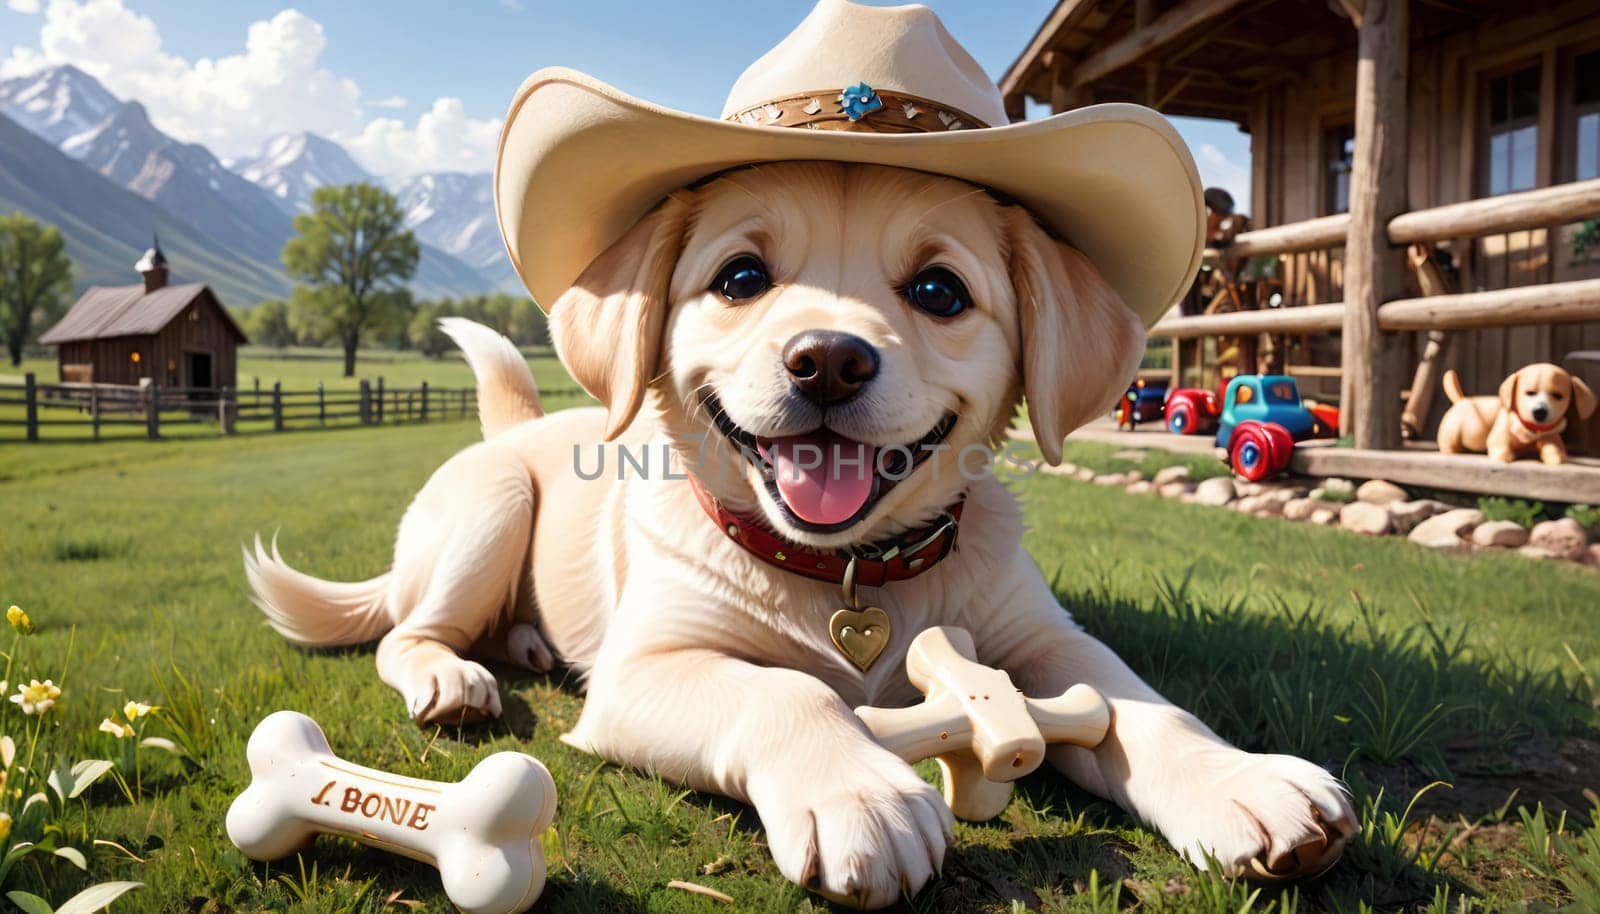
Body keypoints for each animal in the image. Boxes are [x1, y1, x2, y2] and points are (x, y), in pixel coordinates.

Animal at [246, 164, 1350, 909]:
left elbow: (1142, 705)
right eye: (740, 276)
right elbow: (782, 688)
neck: (848, 570)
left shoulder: (1045, 640)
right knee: (404, 630)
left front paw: (1244, 783)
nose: (826, 359)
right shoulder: (643, 673)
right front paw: (857, 789)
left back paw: (520, 642)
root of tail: (510, 430)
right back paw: (457, 674)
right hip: (490, 505)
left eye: (940, 291)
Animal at [1446, 364, 1593, 464]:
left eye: (1558, 396)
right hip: (1451, 434)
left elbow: (1554, 448)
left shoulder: (1550, 437)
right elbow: (1500, 445)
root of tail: (1461, 399)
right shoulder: (1498, 435)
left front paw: (1556, 457)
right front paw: (1505, 456)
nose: (1540, 412)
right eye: (1530, 393)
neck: (1531, 429)